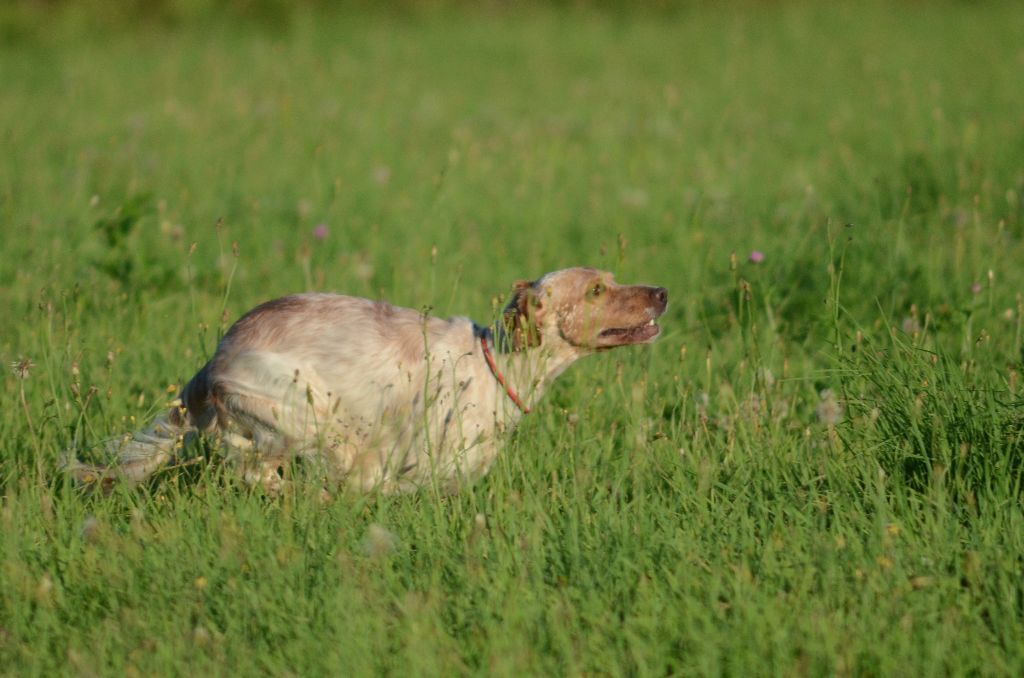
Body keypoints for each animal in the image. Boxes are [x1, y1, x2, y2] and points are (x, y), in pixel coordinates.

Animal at [68, 268, 667, 497]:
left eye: (611, 280)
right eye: (596, 290)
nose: (662, 291)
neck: (497, 364)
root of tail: (210, 365)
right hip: (303, 413)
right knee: (260, 472)